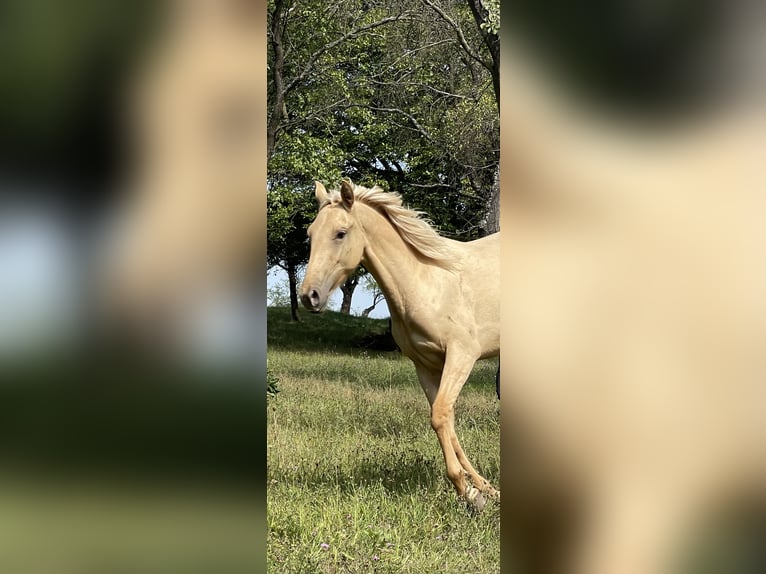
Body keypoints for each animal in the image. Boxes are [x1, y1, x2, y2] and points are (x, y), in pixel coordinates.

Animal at [300, 181, 504, 512]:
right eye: (310, 233)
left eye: (340, 233)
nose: (309, 296)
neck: (424, 282)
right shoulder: (426, 365)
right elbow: (444, 420)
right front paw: (481, 490)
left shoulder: (462, 355)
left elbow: (440, 415)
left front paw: (467, 491)